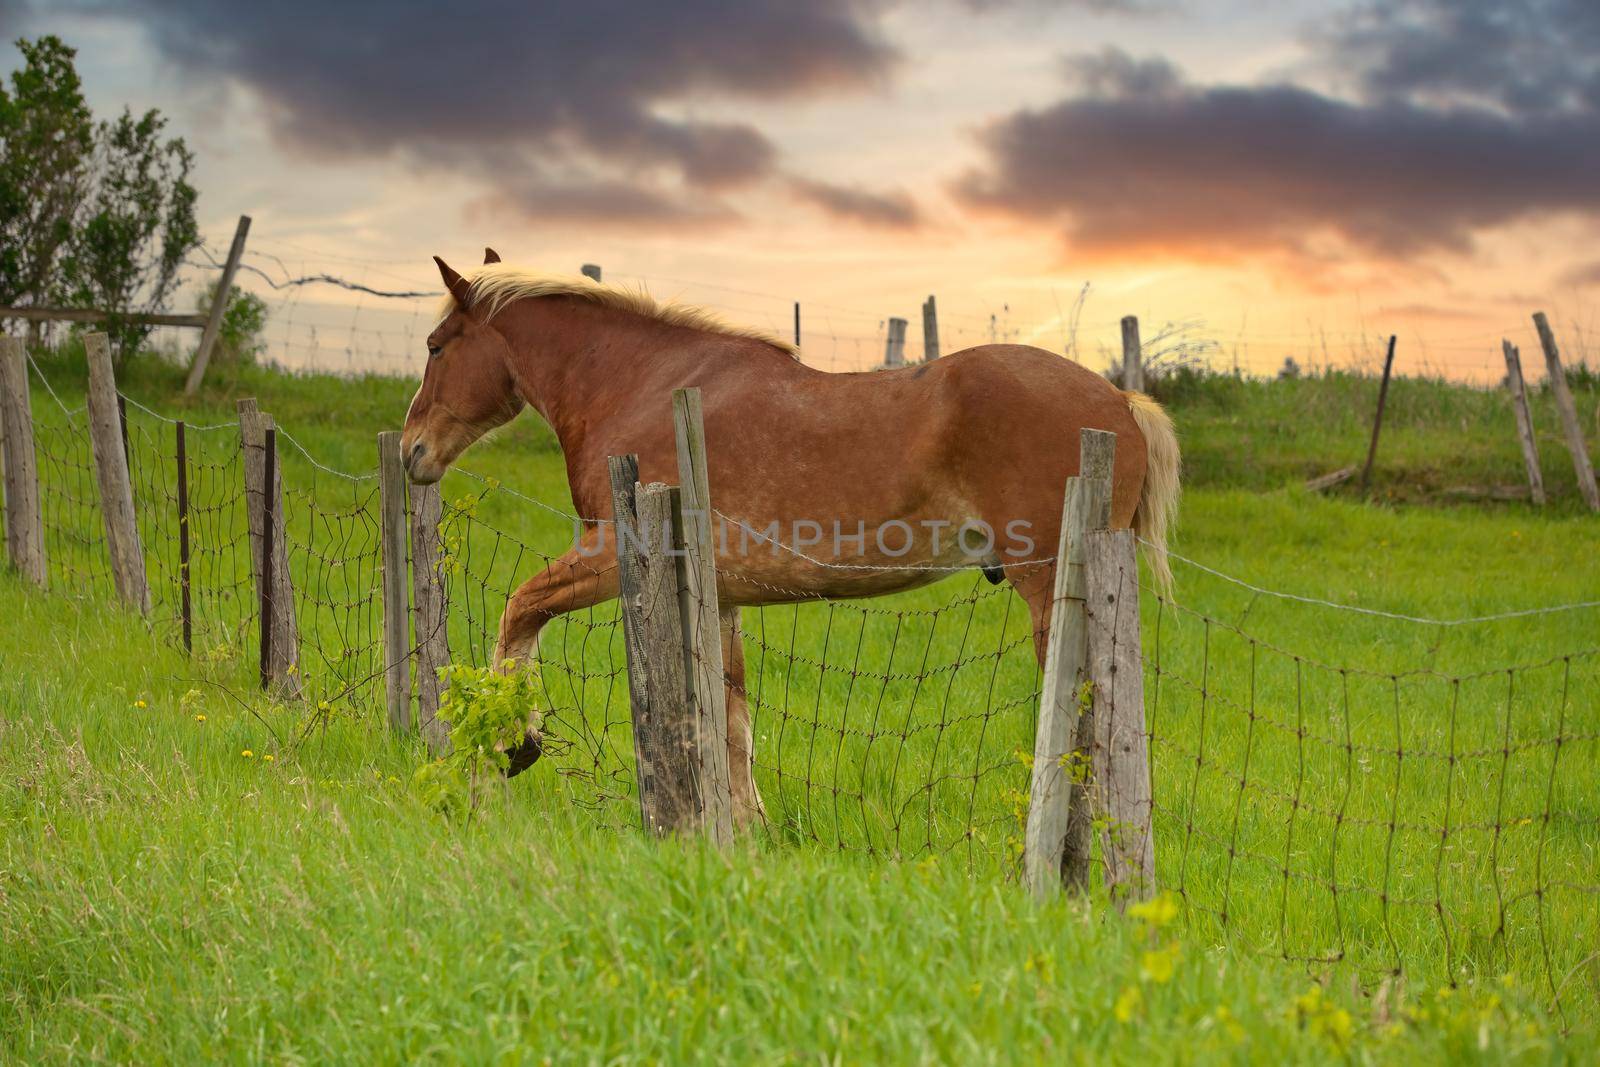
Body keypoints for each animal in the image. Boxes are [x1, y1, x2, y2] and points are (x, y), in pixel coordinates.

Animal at [400, 252, 1177, 825]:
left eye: (436, 347)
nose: (413, 451)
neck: (644, 387)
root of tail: (1122, 403)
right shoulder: (719, 600)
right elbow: (730, 722)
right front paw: (746, 832)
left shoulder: (610, 558)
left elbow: (518, 611)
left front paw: (512, 743)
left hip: (1052, 592)